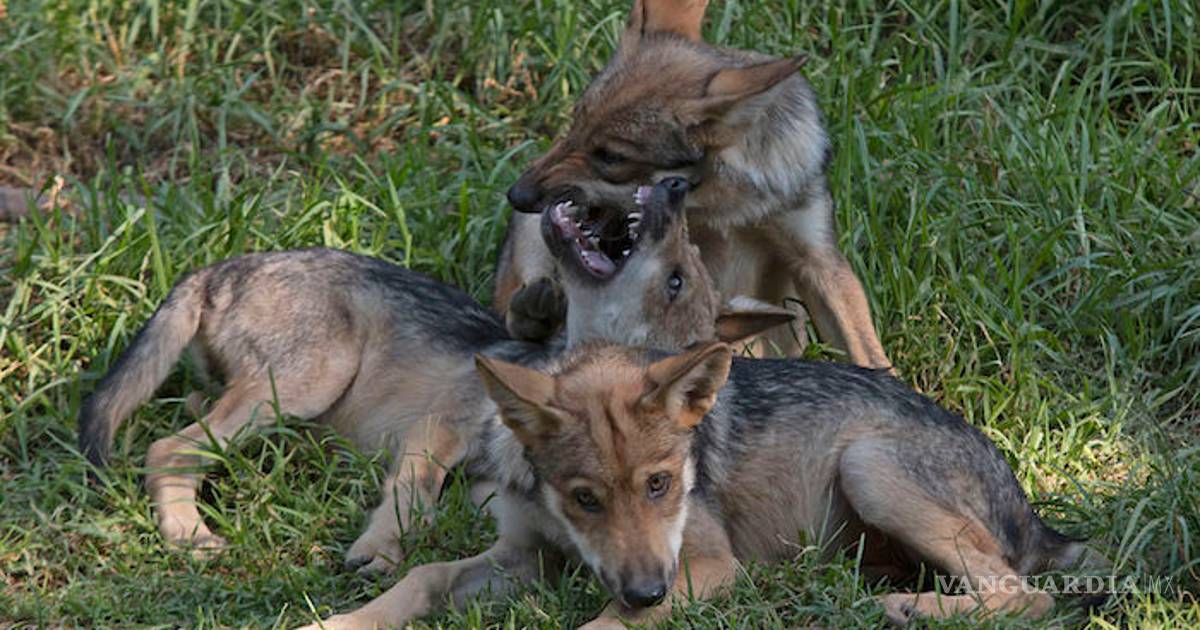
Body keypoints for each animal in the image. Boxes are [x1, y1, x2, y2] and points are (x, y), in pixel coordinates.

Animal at [77, 178, 789, 574]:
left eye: (677, 279)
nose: (673, 185)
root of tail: (218, 268)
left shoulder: (478, 481)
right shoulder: (436, 431)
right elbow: (412, 498)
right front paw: (380, 551)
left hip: (277, 396)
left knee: (188, 429)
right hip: (310, 380)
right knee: (168, 447)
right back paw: (190, 535)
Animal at [300, 340, 1097, 630]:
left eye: (660, 485)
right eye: (585, 498)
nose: (649, 591)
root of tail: (1037, 517)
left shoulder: (710, 567)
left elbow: (603, 625)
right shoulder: (526, 556)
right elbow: (424, 575)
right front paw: (341, 623)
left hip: (866, 465)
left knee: (1024, 594)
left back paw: (907, 608)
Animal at [494, 0, 893, 371]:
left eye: (611, 156)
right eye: (576, 121)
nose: (517, 195)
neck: (725, 206)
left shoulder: (818, 261)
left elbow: (870, 355)